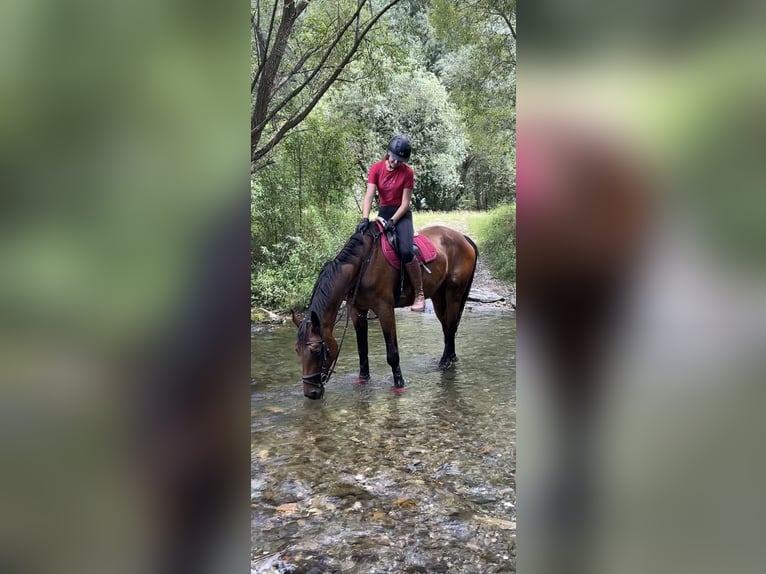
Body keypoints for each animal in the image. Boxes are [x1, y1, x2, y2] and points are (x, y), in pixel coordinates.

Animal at [292, 223, 478, 399]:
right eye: (297, 350)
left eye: (316, 350)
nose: (311, 393)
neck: (362, 266)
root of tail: (463, 238)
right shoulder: (357, 311)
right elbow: (362, 350)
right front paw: (363, 379)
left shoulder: (385, 309)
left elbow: (392, 354)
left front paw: (399, 385)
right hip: (438, 296)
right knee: (447, 328)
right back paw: (450, 358)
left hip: (454, 294)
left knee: (452, 327)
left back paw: (445, 362)